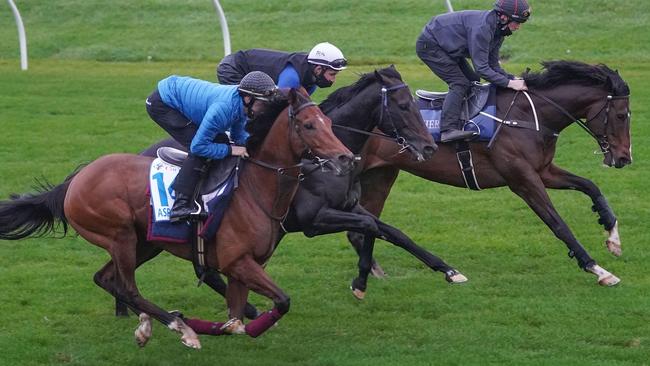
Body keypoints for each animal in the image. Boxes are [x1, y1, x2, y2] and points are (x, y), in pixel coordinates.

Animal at [1, 88, 354, 348]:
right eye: (309, 125)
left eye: (328, 121)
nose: (346, 158)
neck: (256, 188)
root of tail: (75, 180)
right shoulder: (237, 261)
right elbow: (281, 301)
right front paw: (215, 326)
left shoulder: (246, 266)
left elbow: (237, 312)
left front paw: (230, 325)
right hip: (120, 236)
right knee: (127, 287)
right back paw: (180, 327)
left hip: (145, 242)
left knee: (107, 279)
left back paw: (149, 323)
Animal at [346, 60, 632, 286]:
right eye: (621, 115)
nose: (624, 158)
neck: (528, 116)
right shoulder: (523, 180)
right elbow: (558, 223)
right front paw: (598, 269)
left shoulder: (543, 171)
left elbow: (589, 185)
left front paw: (613, 237)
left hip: (380, 176)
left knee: (361, 227)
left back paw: (375, 270)